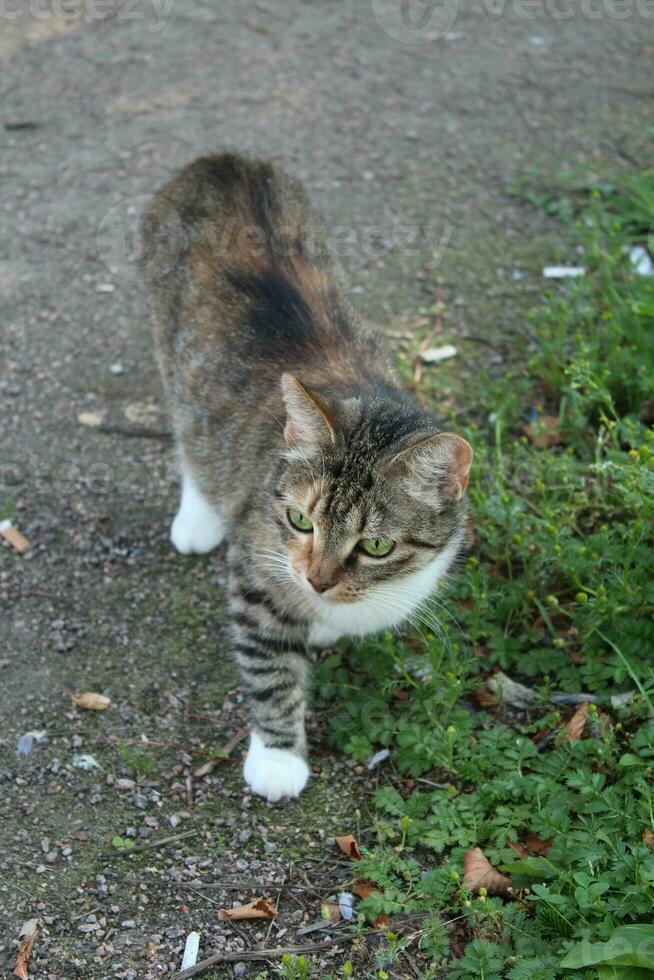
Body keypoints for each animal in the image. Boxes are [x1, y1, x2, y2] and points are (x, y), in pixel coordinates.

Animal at [144, 149, 474, 800]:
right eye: (299, 519)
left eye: (376, 546)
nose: (317, 582)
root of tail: (221, 159)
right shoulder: (255, 569)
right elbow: (269, 663)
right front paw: (277, 756)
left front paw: (320, 625)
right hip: (174, 356)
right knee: (190, 433)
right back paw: (198, 515)